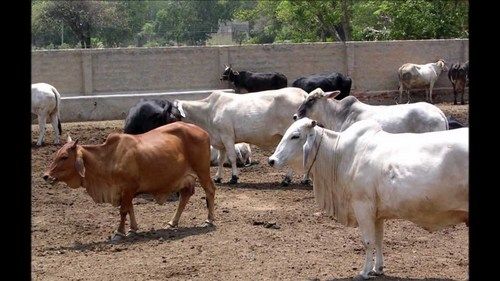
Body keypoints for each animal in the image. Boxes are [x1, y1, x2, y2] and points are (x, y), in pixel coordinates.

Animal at [42, 121, 214, 240]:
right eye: (57, 154)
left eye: (64, 157)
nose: (46, 176)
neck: (109, 158)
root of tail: (203, 131)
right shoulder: (126, 191)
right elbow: (130, 208)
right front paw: (132, 229)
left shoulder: (128, 188)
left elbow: (123, 210)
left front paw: (119, 233)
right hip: (186, 178)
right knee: (185, 195)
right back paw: (173, 222)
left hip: (202, 171)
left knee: (209, 190)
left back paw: (209, 220)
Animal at [270, 117, 468, 278]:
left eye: (295, 136)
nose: (271, 160)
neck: (340, 155)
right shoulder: (377, 213)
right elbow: (378, 240)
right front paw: (378, 269)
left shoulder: (362, 206)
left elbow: (367, 241)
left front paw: (365, 271)